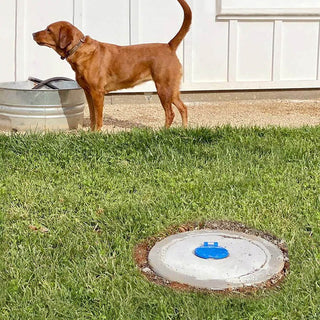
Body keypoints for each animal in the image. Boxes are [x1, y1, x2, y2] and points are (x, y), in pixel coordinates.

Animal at [33, 0, 191, 130]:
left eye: (48, 29)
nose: (33, 33)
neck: (79, 49)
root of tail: (169, 46)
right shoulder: (88, 92)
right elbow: (92, 115)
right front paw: (90, 132)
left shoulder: (97, 92)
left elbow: (99, 117)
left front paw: (97, 132)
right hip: (172, 90)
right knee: (183, 108)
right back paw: (183, 130)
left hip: (163, 88)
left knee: (170, 113)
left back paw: (164, 131)